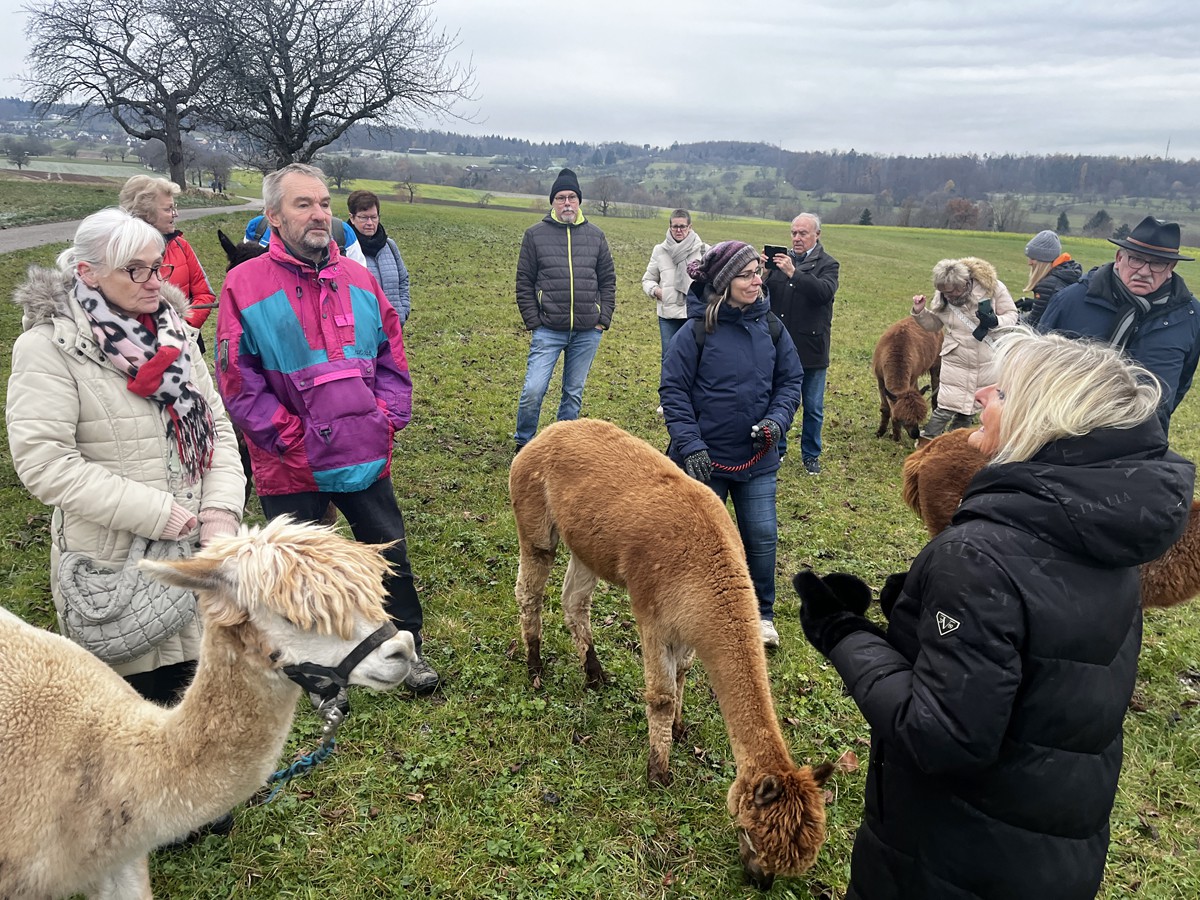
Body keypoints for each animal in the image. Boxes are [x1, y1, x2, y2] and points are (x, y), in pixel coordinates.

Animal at [509, 418, 833, 889]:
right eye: (752, 834)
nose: (760, 880)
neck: (705, 570)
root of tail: (551, 431)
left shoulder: (690, 621)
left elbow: (682, 674)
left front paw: (680, 729)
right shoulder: (653, 614)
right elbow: (660, 696)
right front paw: (658, 773)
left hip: (587, 544)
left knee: (574, 603)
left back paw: (594, 673)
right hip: (534, 521)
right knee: (530, 592)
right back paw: (534, 666)